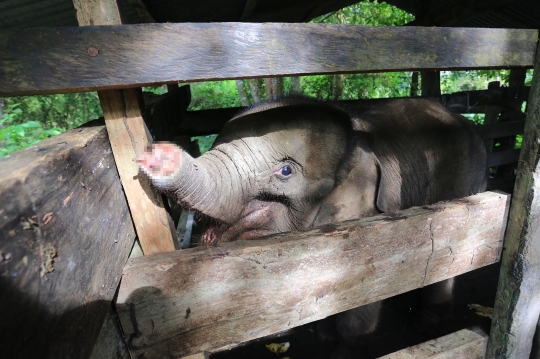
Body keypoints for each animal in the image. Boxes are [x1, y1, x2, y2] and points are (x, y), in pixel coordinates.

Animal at [137, 97, 488, 358]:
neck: (357, 136)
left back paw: (427, 325)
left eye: (286, 170)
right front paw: (324, 337)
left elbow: (364, 299)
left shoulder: (372, 224)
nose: (157, 153)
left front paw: (345, 351)